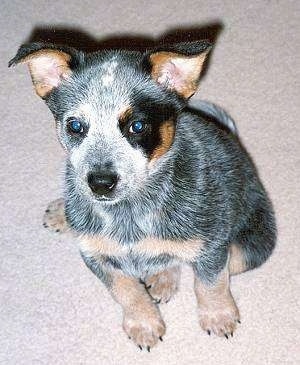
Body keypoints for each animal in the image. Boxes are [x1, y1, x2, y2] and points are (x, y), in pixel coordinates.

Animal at [8, 39, 276, 350]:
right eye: (75, 126)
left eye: (137, 126)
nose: (100, 183)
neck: (130, 211)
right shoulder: (94, 253)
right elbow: (125, 291)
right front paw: (144, 324)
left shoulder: (212, 244)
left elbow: (209, 283)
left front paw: (218, 315)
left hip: (251, 245)